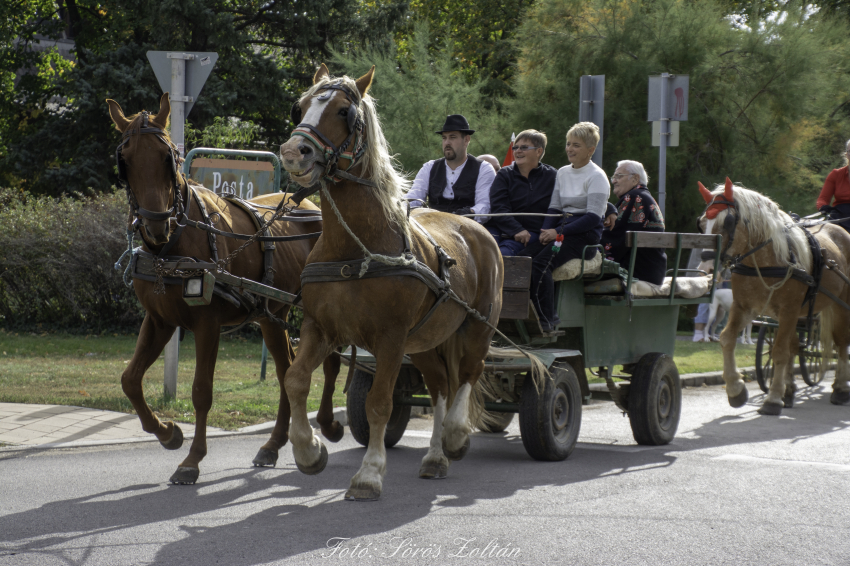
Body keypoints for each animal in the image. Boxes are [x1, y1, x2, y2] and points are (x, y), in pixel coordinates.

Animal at [107, 95, 344, 486]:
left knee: (329, 363)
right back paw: (274, 444)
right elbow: (130, 380)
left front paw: (192, 460)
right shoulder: (159, 320)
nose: (156, 225)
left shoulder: (208, 325)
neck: (174, 245)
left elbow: (201, 391)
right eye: (124, 160)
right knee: (288, 370)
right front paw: (168, 433)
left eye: (168, 156)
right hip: (272, 315)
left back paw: (327, 424)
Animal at [696, 179, 848, 418]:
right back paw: (790, 390)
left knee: (841, 343)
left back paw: (840, 388)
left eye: (727, 222)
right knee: (795, 346)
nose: (706, 267)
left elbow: (779, 352)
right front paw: (736, 390)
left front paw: (773, 399)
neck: (765, 259)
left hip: (841, 304)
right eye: (702, 224)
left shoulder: (788, 311)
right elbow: (727, 338)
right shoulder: (744, 308)